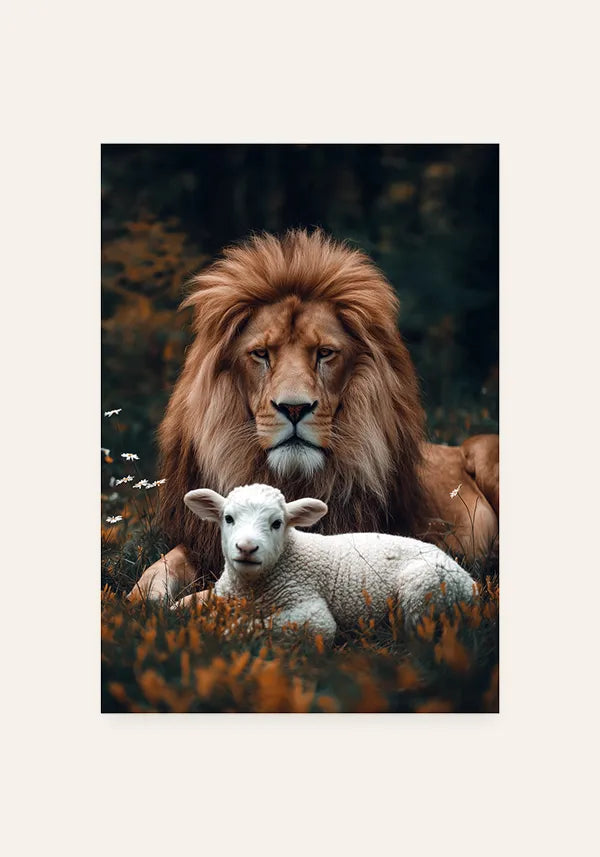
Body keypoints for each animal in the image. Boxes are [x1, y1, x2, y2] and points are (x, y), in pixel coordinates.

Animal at [129, 229, 499, 602]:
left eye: (324, 353)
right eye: (261, 354)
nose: (294, 408)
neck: (287, 479)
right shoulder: (198, 544)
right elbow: (154, 573)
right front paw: (147, 603)